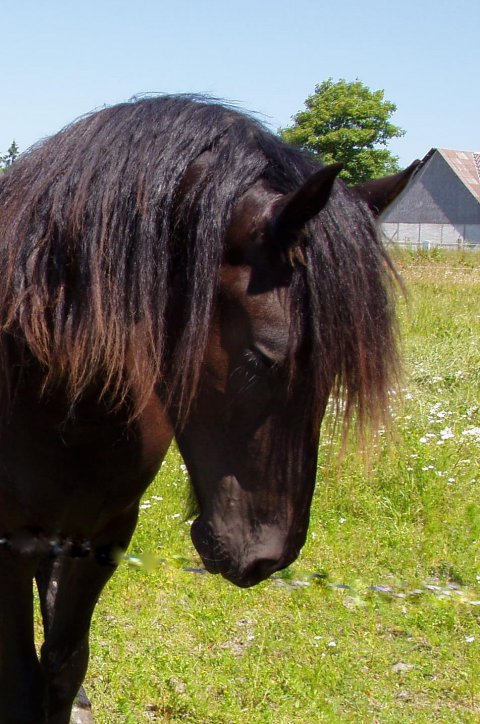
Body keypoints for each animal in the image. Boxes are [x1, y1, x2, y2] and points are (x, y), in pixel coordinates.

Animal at [0, 95, 417, 722]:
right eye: (262, 359)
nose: (268, 557)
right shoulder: (9, 544)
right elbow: (21, 685)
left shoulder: (105, 533)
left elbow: (65, 664)